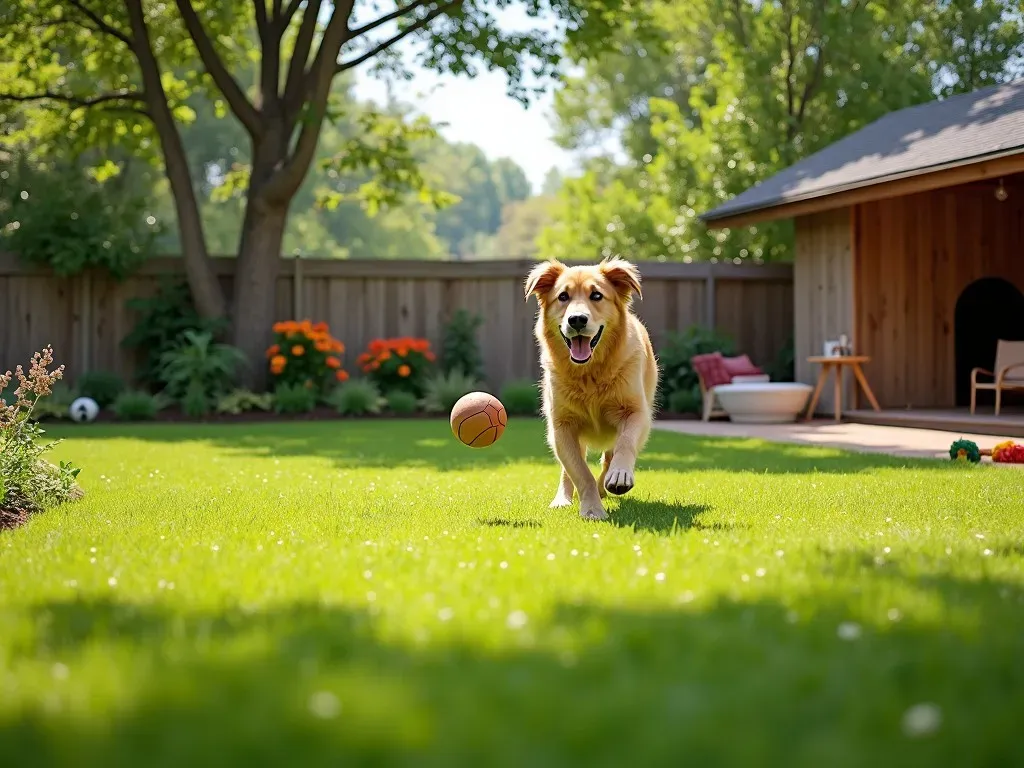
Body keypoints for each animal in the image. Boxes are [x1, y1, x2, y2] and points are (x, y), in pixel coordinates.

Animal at [524, 259, 659, 524]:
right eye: (563, 296)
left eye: (596, 295)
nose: (577, 319)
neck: (589, 373)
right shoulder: (561, 427)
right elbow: (579, 471)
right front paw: (592, 509)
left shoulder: (636, 413)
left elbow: (625, 443)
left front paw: (619, 475)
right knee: (568, 471)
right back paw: (563, 499)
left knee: (610, 455)